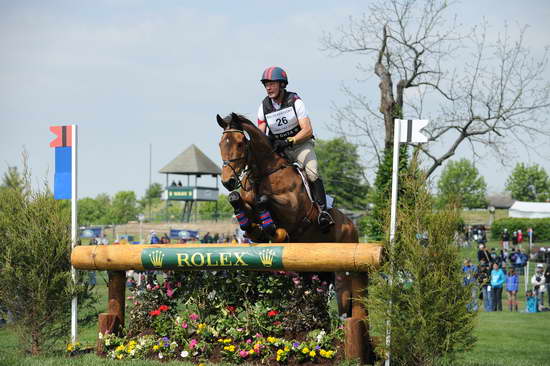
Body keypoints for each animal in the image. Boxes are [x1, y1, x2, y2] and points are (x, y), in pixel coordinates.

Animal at [216, 112, 362, 318]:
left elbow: (263, 199)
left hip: (343, 270)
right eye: (221, 143)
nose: (227, 181)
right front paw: (253, 229)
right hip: (315, 271)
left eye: (240, 143)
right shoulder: (245, 201)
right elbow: (236, 199)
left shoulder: (291, 210)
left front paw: (272, 230)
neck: (265, 173)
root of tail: (352, 226)